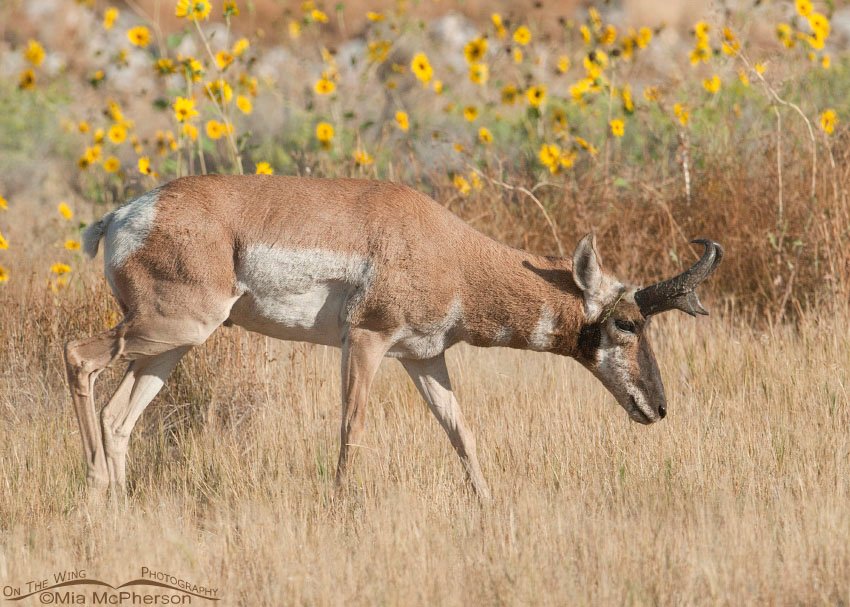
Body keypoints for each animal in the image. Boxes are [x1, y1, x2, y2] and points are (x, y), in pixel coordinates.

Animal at [65, 175, 722, 500]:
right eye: (627, 323)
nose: (659, 407)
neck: (450, 251)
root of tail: (126, 213)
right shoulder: (366, 342)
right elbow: (351, 429)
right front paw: (341, 506)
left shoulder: (424, 361)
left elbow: (463, 436)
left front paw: (489, 508)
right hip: (175, 327)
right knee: (78, 356)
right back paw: (94, 486)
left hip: (171, 346)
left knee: (120, 417)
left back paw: (120, 506)